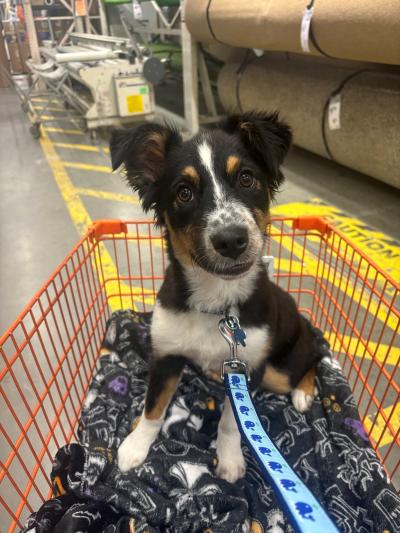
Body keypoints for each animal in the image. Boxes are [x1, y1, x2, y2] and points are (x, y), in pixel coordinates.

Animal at [109, 111, 322, 482]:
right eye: (183, 193)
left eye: (247, 178)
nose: (231, 239)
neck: (215, 304)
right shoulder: (166, 355)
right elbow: (154, 406)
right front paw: (136, 445)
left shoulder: (249, 369)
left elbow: (232, 422)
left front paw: (230, 458)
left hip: (280, 370)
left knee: (314, 361)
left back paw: (304, 393)